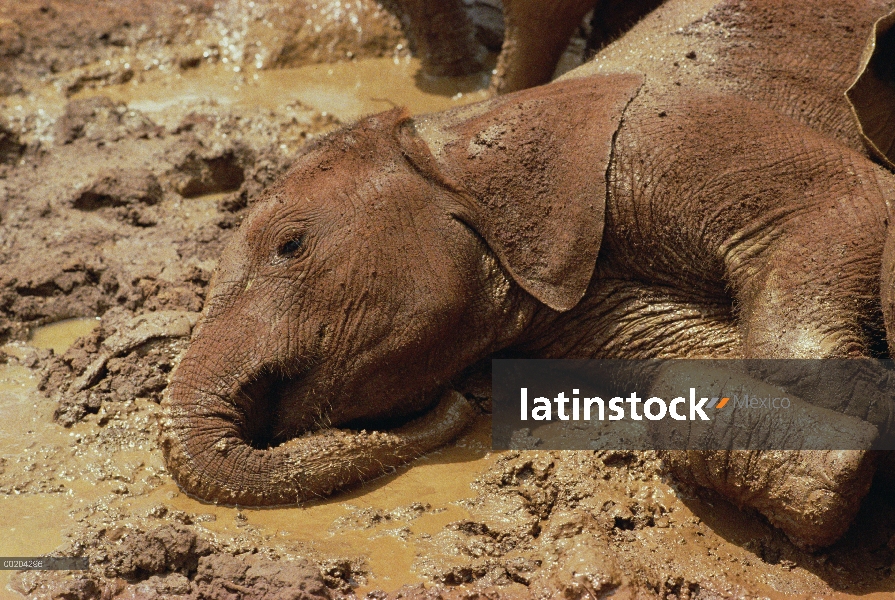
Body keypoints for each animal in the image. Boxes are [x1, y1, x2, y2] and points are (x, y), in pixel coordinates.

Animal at [163, 0, 895, 552]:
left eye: (290, 246)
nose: (459, 404)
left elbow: (854, 202)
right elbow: (681, 372)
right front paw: (846, 463)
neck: (450, 140)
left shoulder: (668, 135)